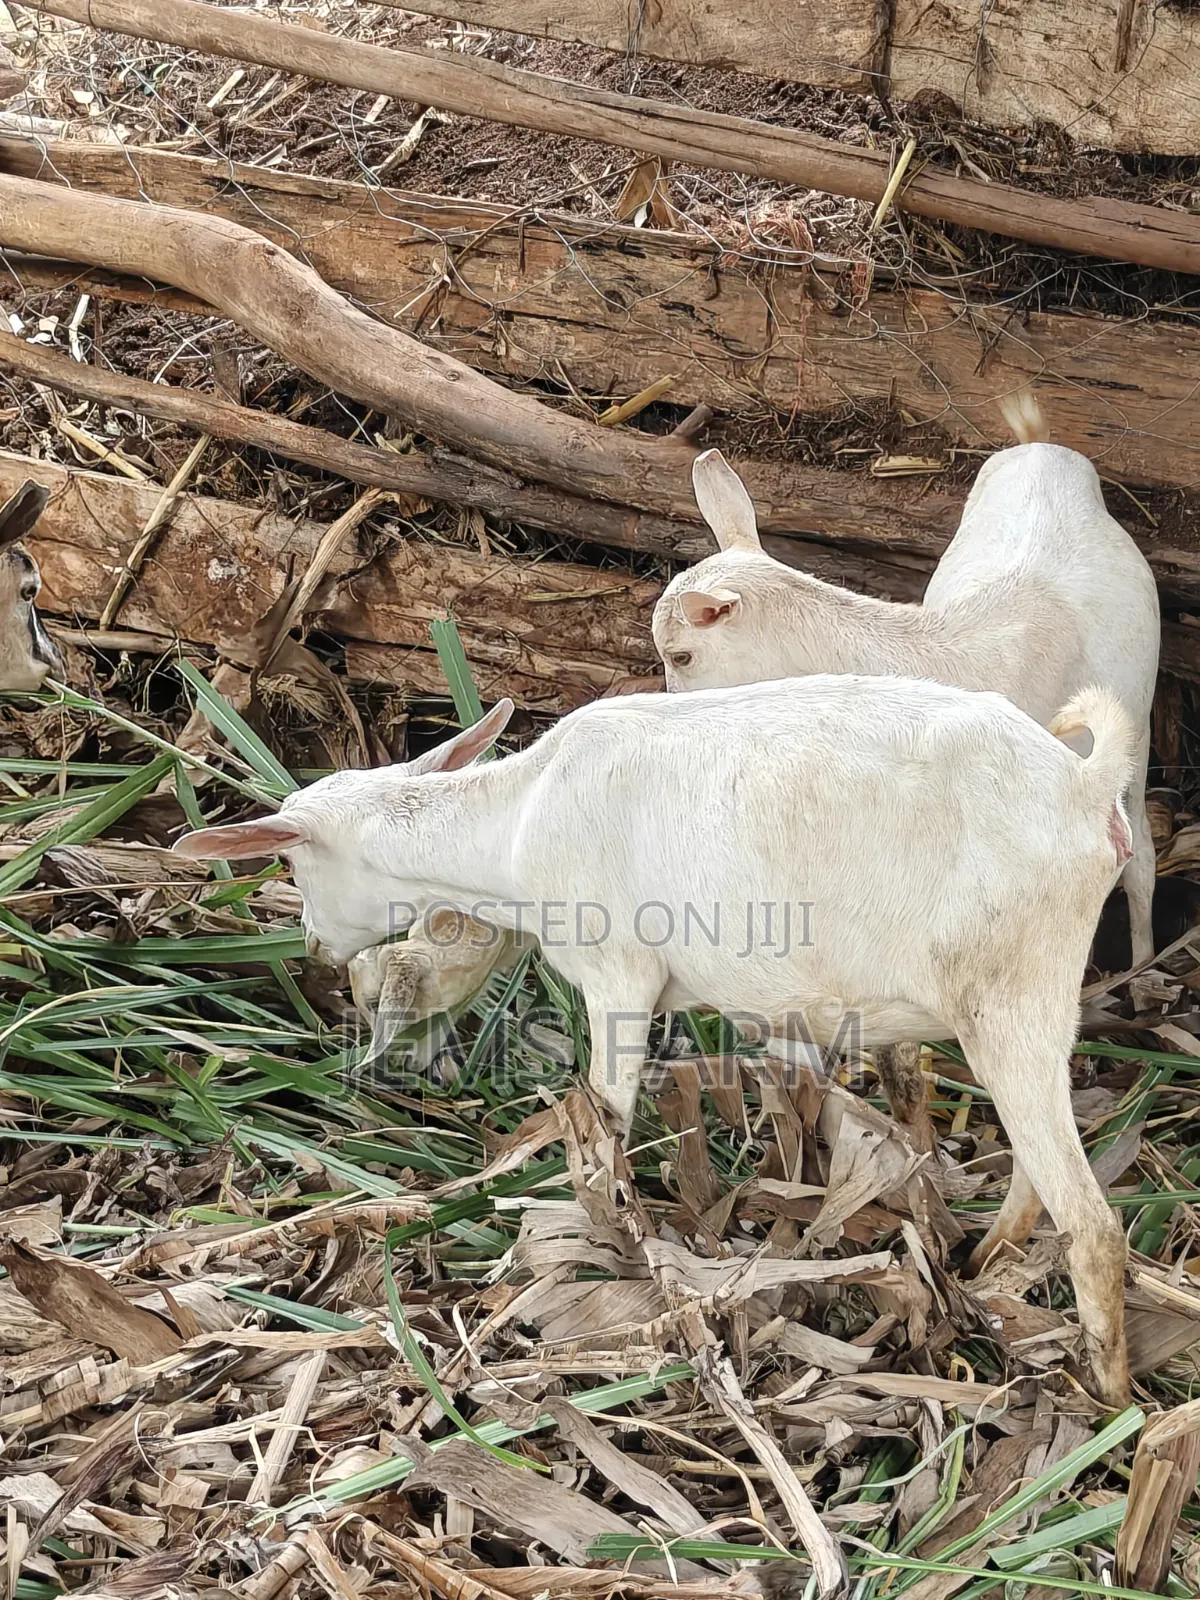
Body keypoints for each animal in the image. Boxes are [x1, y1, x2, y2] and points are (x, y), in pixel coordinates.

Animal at [174, 676, 1137, 1405]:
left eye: (294, 860)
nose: (311, 948)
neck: (515, 826)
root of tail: (1088, 789)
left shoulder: (618, 977)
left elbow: (606, 1117)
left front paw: (610, 1245)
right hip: (1033, 1004)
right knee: (1035, 1167)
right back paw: (987, 1260)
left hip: (1010, 988)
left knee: (1092, 1221)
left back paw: (1112, 1401)